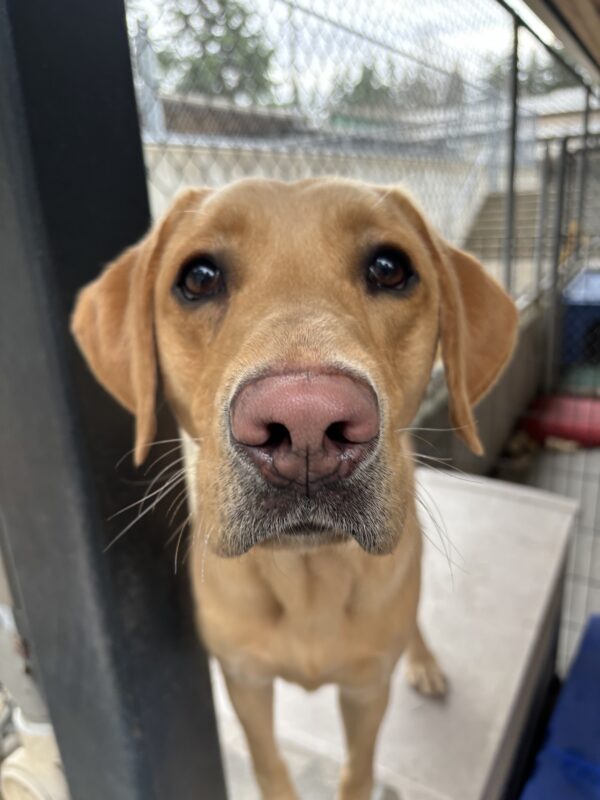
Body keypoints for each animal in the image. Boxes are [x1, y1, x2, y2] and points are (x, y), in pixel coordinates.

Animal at [72, 180, 516, 800]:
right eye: (199, 278)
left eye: (389, 268)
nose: (306, 420)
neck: (308, 581)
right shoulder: (244, 680)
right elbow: (270, 766)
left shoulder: (365, 690)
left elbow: (358, 771)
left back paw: (423, 661)